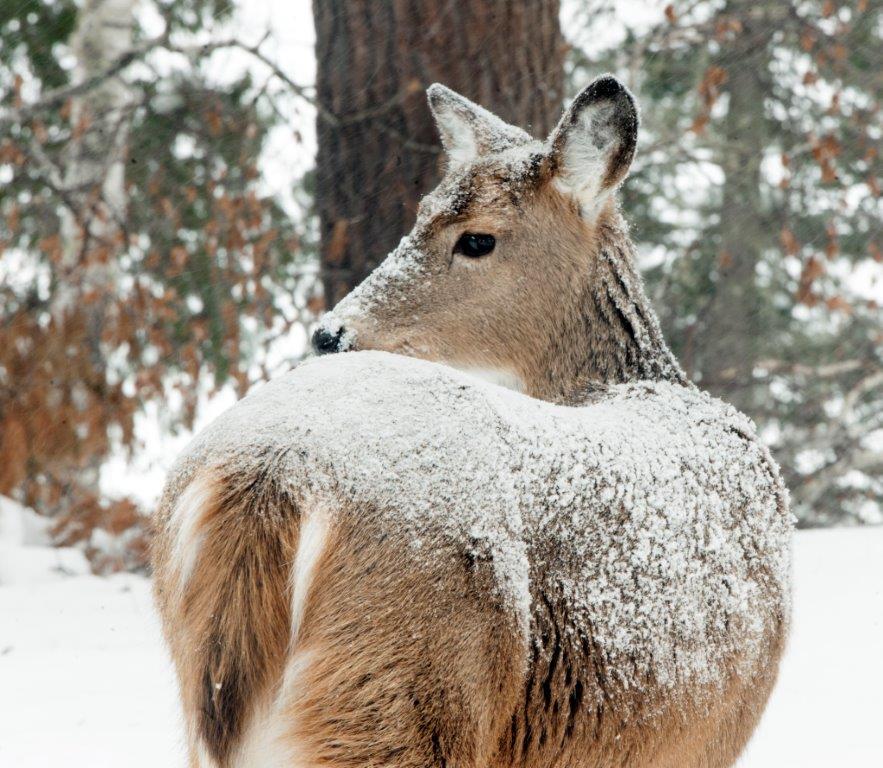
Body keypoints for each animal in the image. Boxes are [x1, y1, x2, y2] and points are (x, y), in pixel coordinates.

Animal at [152, 75, 792, 768]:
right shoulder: (711, 734)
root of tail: (270, 476)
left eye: (477, 238)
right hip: (405, 681)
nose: (330, 333)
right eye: (421, 216)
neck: (638, 385)